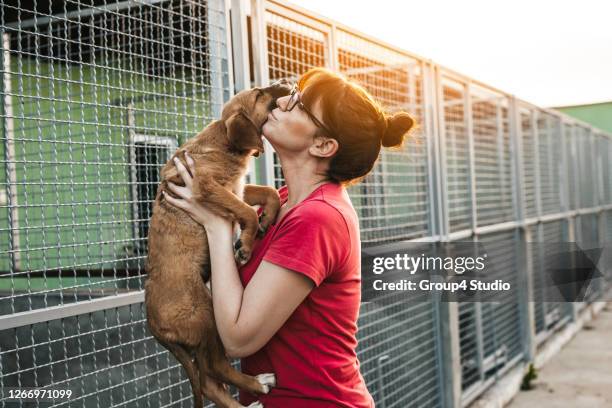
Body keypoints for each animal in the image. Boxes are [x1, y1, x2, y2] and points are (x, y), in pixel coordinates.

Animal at [147, 79, 292, 404]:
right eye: (259, 95)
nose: (287, 81)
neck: (224, 143)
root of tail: (152, 324)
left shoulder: (236, 188)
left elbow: (267, 193)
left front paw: (267, 219)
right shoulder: (208, 187)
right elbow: (246, 211)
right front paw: (246, 246)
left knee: (209, 382)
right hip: (206, 317)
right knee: (214, 369)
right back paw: (259, 383)